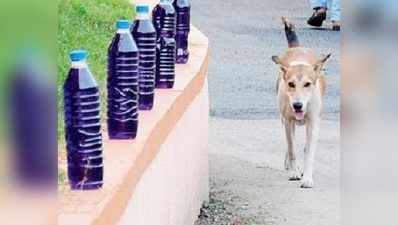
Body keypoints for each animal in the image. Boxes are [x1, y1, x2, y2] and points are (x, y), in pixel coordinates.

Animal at [272, 17, 332, 188]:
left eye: (308, 84)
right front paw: (294, 172)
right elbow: (292, 148)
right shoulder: (288, 121)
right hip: (283, 119)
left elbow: (309, 151)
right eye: (291, 84)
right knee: (289, 144)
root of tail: (296, 47)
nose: (297, 105)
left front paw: (307, 177)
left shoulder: (313, 123)